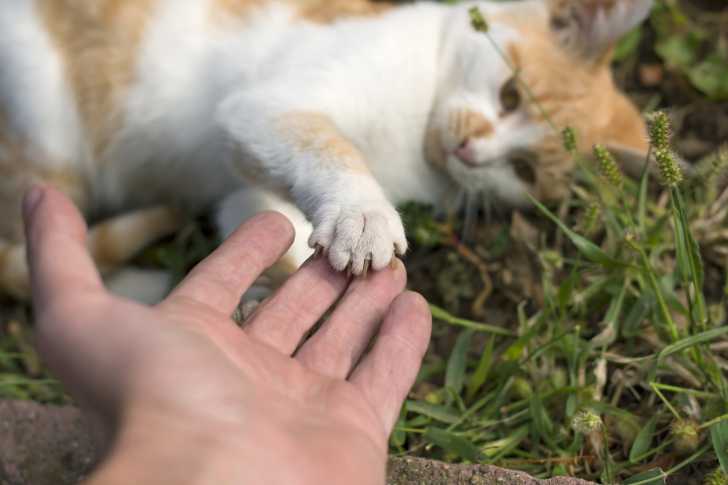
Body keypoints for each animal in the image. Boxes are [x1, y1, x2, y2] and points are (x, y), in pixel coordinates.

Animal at [0, 0, 648, 300]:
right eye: (510, 93)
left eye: (523, 169)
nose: (471, 150)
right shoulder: (265, 106)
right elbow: (325, 146)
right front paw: (363, 215)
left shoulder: (244, 186)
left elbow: (263, 220)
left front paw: (271, 289)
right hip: (48, 129)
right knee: (28, 255)